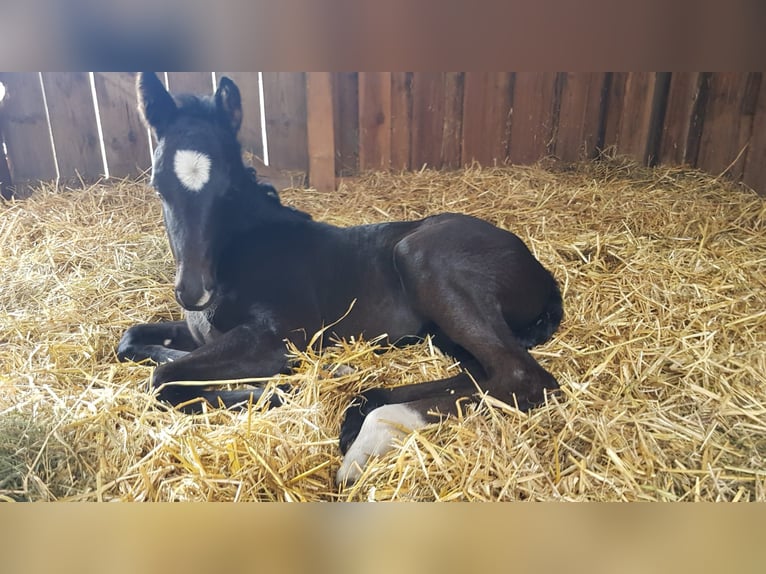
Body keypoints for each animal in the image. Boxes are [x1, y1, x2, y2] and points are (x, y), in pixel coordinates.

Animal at [120, 73, 564, 486]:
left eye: (226, 189)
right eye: (157, 185)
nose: (193, 292)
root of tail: (542, 271)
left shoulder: (276, 337)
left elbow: (162, 381)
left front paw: (285, 387)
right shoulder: (200, 334)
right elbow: (131, 341)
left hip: (423, 258)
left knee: (520, 376)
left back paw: (370, 438)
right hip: (445, 332)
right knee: (480, 372)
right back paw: (359, 403)